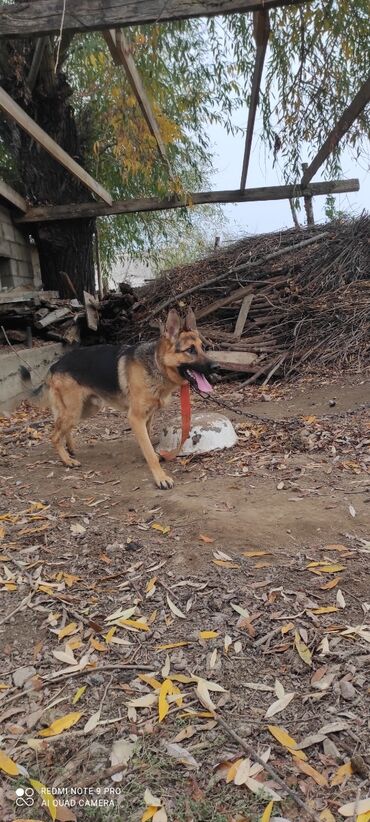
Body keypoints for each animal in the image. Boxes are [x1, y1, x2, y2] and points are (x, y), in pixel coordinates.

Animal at [19, 308, 217, 490]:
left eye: (203, 348)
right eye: (190, 350)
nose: (216, 366)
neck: (157, 365)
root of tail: (55, 365)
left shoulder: (148, 417)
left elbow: (148, 442)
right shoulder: (135, 418)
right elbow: (149, 450)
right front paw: (161, 477)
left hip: (85, 409)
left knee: (62, 428)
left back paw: (71, 448)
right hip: (74, 410)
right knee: (54, 435)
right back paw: (67, 460)